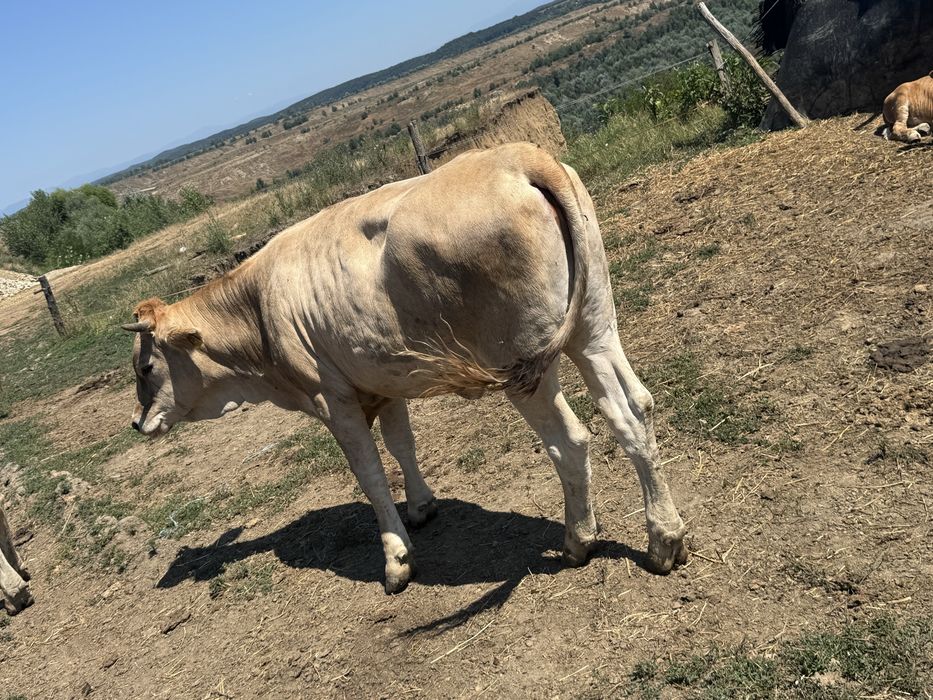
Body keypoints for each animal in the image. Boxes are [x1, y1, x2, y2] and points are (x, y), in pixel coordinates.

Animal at [123, 143, 687, 594]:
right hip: (594, 328)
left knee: (571, 441)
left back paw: (579, 541)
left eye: (146, 365)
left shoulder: (332, 399)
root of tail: (518, 157)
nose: (136, 422)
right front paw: (420, 507)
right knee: (631, 409)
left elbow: (370, 473)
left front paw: (396, 560)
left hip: (524, 367)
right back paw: (665, 537)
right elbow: (402, 446)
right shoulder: (382, 380)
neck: (259, 308)